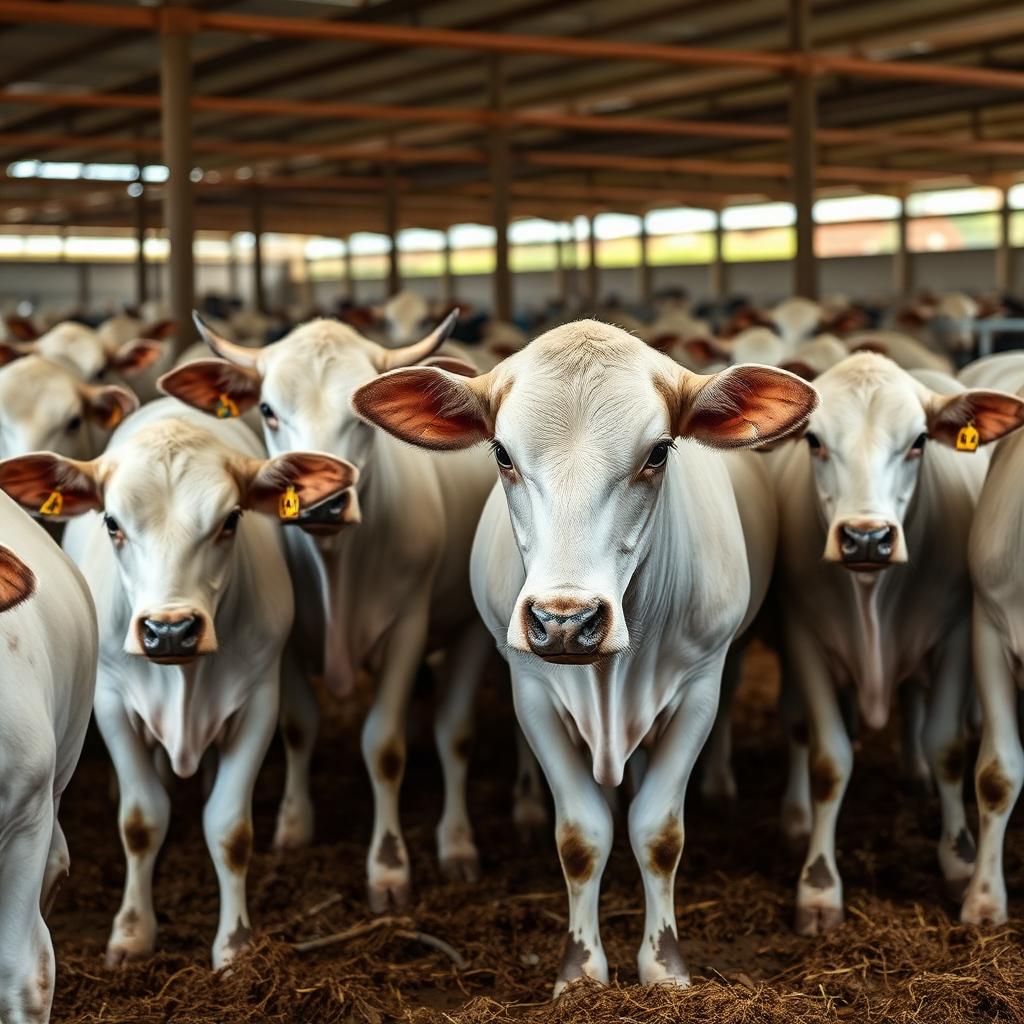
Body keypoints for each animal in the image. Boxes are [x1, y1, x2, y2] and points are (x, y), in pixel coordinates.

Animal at [0, 400, 357, 969]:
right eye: (112, 523)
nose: (169, 629)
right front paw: (131, 933)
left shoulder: (259, 702)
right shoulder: (112, 705)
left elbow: (230, 829)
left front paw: (235, 944)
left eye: (230, 520)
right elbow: (141, 821)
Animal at [158, 313, 496, 909]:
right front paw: (294, 825)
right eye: (269, 410)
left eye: (361, 414)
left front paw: (389, 867)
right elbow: (299, 726)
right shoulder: (285, 643)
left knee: (455, 733)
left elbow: (384, 746)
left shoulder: (408, 629)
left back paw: (460, 841)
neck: (337, 566)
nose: (320, 503)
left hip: (470, 628)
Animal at [351, 319, 818, 994]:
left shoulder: (700, 689)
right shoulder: (532, 695)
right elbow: (580, 835)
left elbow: (659, 832)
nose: (565, 621)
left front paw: (664, 965)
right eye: (502, 453)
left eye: (658, 452)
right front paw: (580, 970)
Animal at [771, 353, 1024, 934]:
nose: (866, 537)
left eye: (919, 442)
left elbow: (948, 749)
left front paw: (960, 861)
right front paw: (818, 886)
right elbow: (828, 761)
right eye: (814, 441)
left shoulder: (958, 635)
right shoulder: (803, 638)